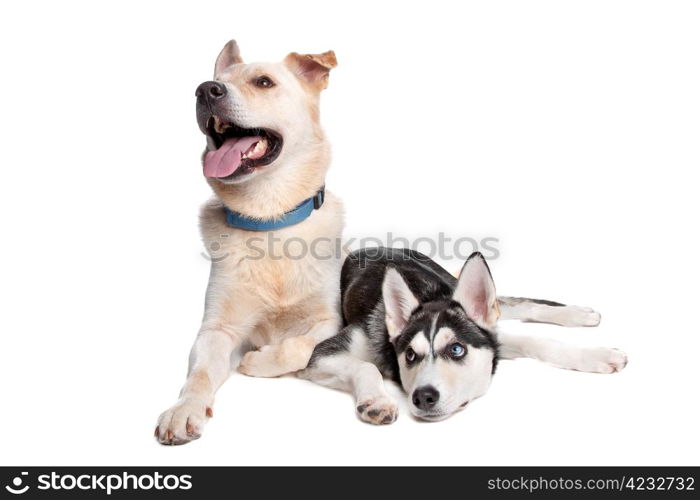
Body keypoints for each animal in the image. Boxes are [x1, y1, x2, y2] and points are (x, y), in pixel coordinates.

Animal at [157, 40, 346, 446]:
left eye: (263, 82)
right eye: (213, 82)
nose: (204, 90)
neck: (270, 220)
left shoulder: (330, 321)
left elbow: (297, 346)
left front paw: (256, 361)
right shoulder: (217, 330)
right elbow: (199, 374)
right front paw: (184, 409)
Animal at [300, 248, 628, 424]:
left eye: (457, 350)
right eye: (410, 355)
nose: (423, 396)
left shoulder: (485, 336)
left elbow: (538, 341)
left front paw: (597, 355)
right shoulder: (320, 356)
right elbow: (367, 366)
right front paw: (377, 401)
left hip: (456, 284)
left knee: (518, 305)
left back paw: (579, 314)